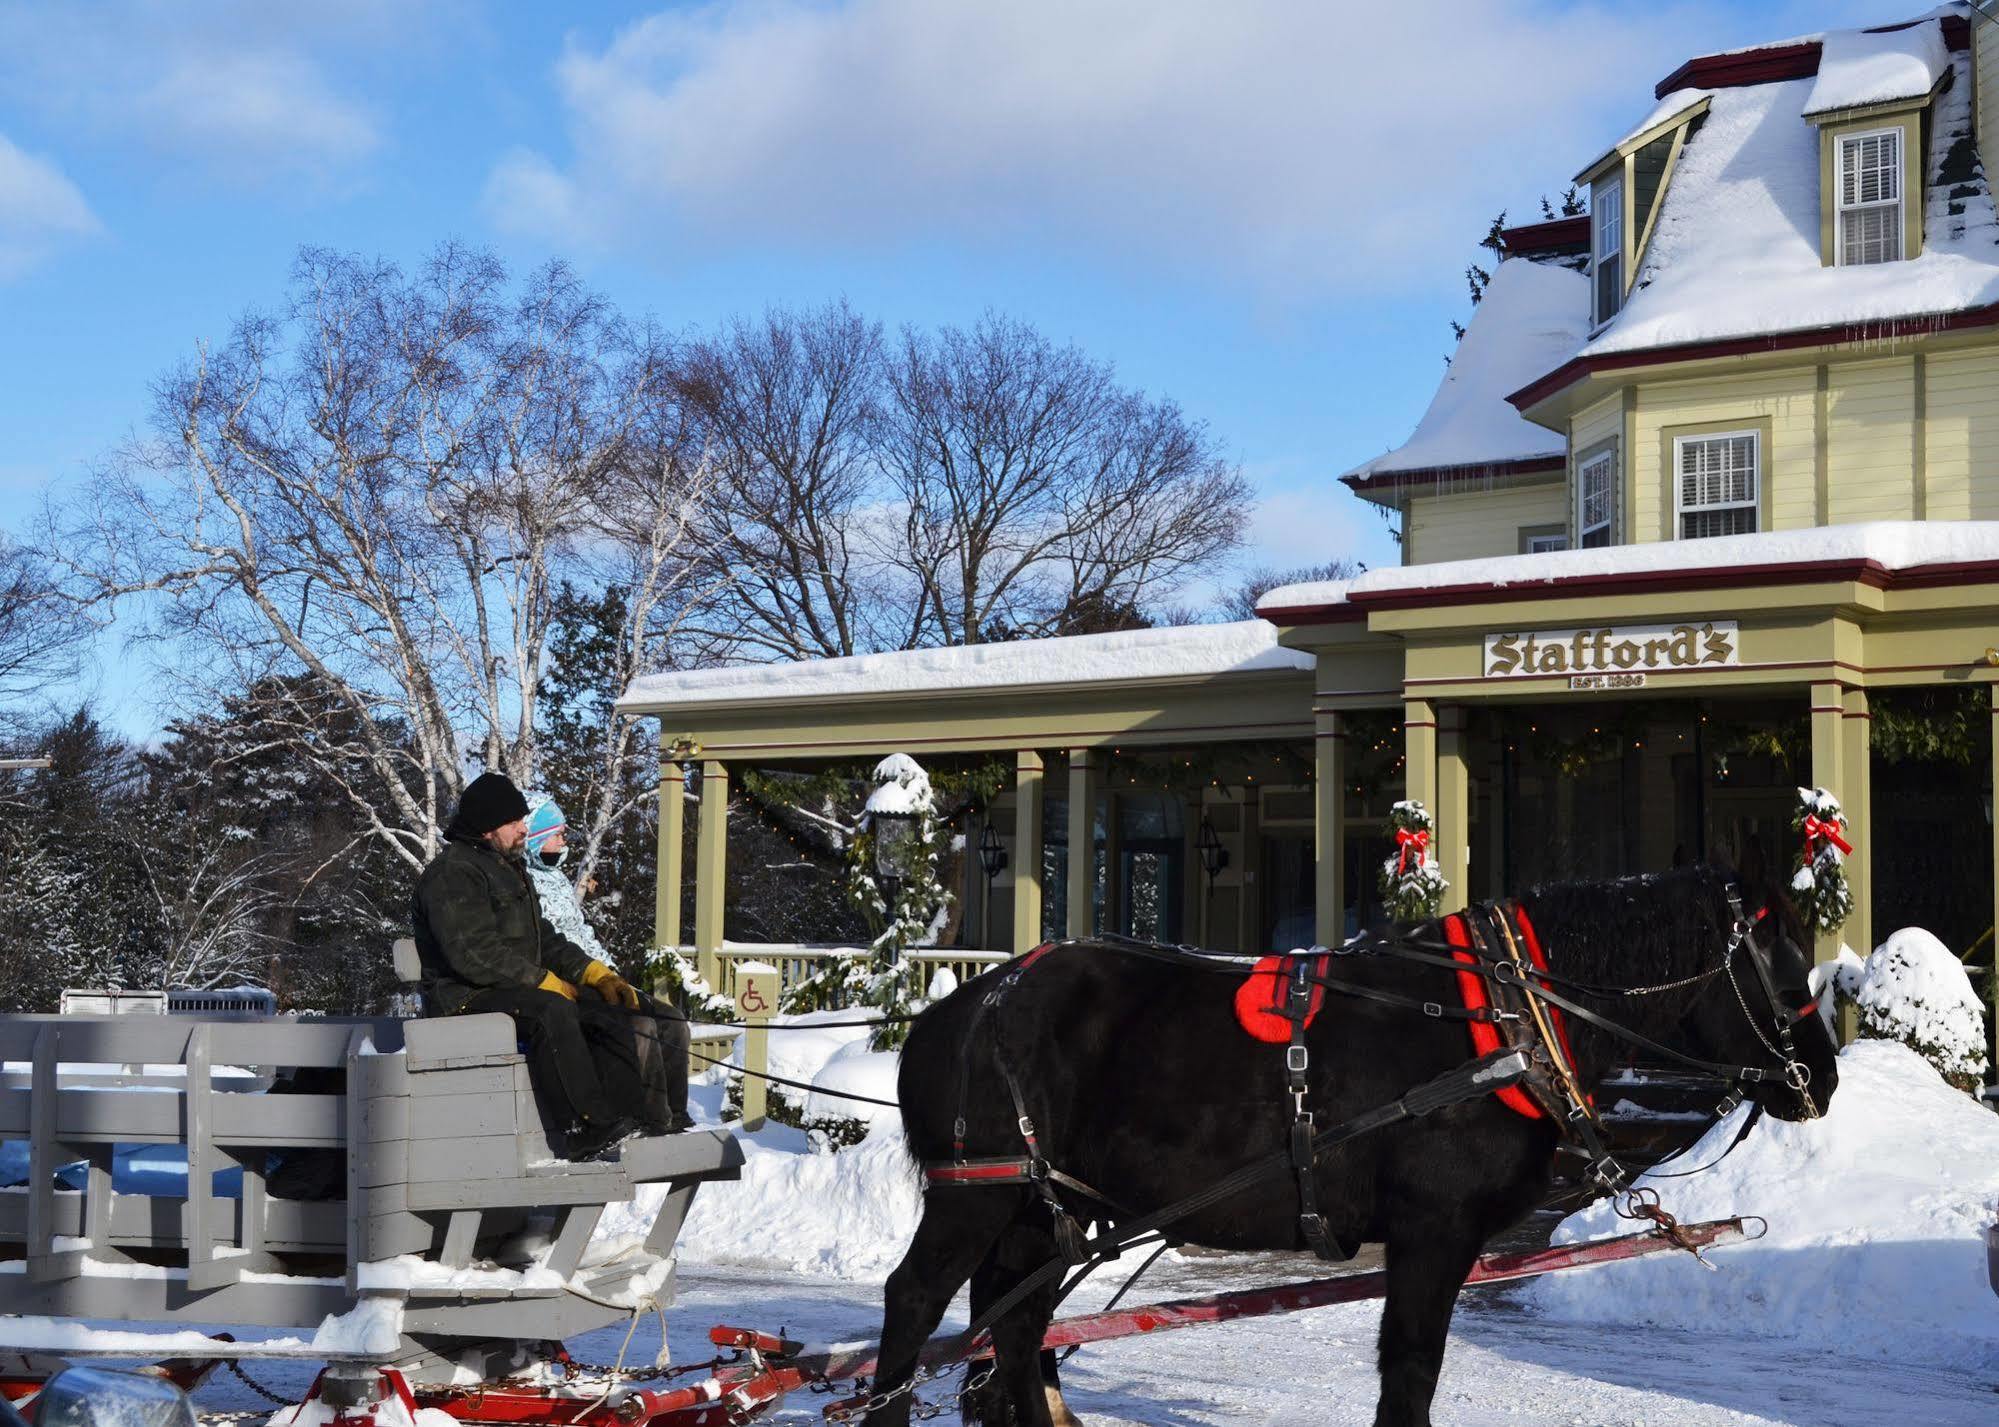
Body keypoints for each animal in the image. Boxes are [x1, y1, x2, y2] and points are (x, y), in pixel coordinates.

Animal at [867, 855, 1831, 1423]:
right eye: (1781, 966)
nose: (1817, 1078)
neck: (1502, 1017)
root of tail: (962, 1004)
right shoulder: (1432, 1227)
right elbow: (1410, 1365)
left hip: (1038, 1203)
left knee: (1015, 1323)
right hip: (979, 1188)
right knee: (915, 1300)